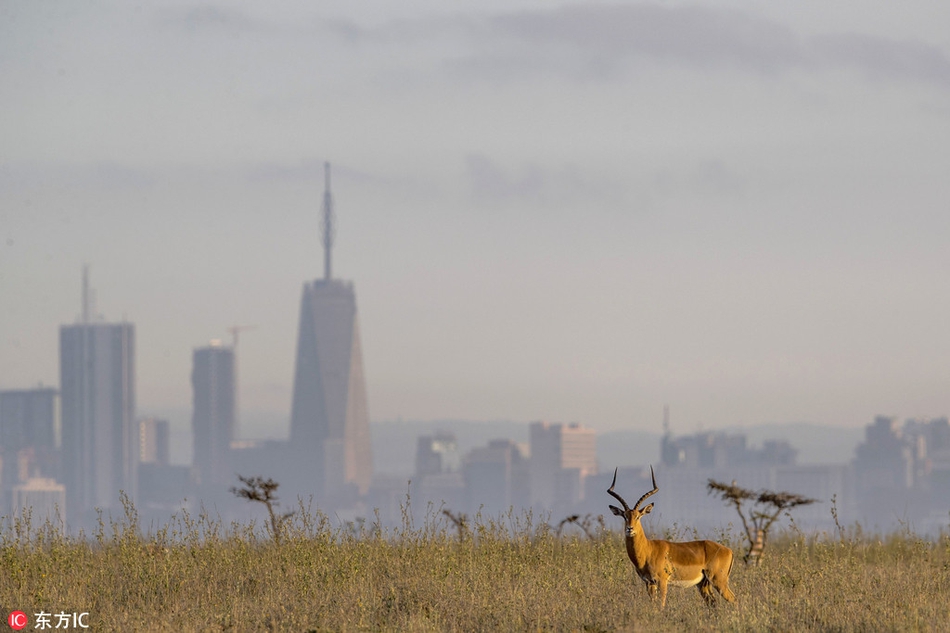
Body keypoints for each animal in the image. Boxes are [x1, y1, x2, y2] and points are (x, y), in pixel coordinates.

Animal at [608, 464, 736, 608]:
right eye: (624, 516)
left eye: (638, 516)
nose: (630, 529)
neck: (648, 550)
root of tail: (729, 550)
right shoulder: (649, 582)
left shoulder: (662, 581)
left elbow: (661, 606)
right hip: (703, 584)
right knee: (713, 603)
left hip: (718, 581)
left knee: (734, 600)